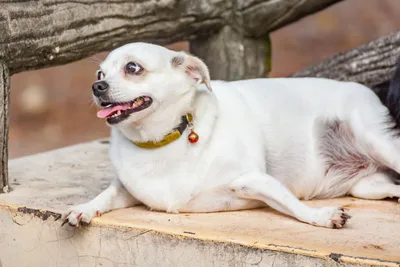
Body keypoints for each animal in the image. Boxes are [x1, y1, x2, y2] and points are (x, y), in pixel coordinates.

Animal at [62, 43, 400, 229]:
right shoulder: (129, 190)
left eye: (133, 68)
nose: (97, 87)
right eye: (100, 74)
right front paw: (83, 208)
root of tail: (365, 89)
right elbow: (106, 195)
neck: (161, 141)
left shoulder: (254, 180)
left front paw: (321, 216)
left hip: (376, 142)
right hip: (365, 187)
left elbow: (293, 205)